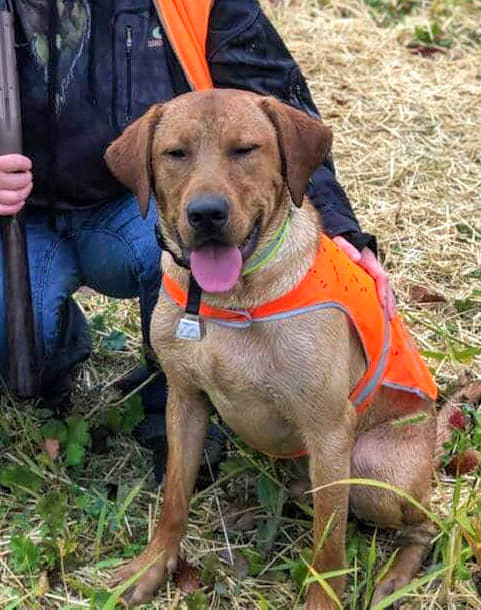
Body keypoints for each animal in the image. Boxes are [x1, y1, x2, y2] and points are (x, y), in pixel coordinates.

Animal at [104, 88, 454, 604]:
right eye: (176, 153)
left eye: (245, 149)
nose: (206, 214)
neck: (231, 300)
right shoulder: (185, 401)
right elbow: (174, 501)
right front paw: (151, 566)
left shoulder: (329, 430)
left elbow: (328, 551)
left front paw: (323, 602)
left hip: (373, 470)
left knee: (425, 525)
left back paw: (395, 577)